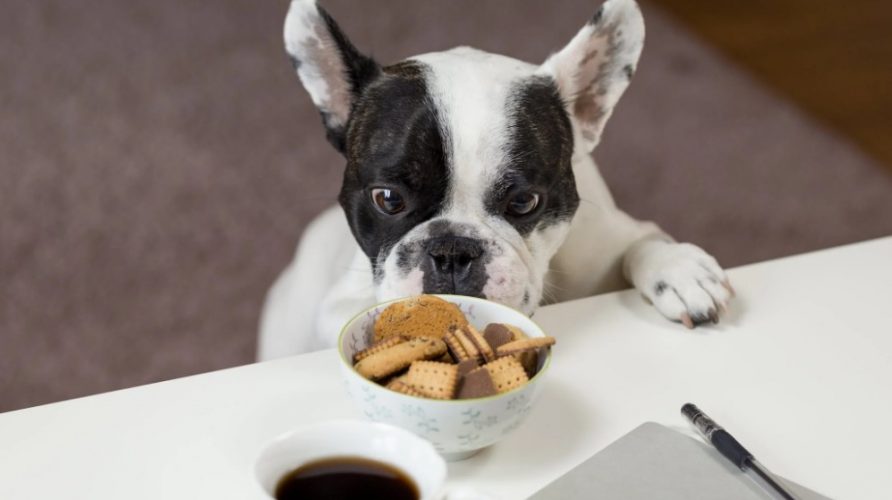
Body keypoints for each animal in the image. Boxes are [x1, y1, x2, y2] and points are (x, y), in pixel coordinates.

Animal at [258, 0, 732, 360]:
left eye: (524, 202)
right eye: (388, 199)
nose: (451, 251)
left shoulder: (609, 240)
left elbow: (643, 242)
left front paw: (680, 270)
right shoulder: (338, 303)